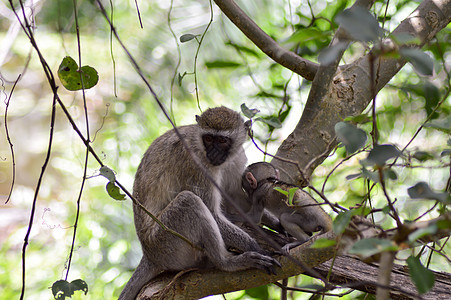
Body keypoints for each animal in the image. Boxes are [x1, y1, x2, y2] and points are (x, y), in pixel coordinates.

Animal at [119, 106, 278, 300]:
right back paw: (228, 262)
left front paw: (278, 224)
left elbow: (236, 198)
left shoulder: (237, 157)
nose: (213, 154)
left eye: (222, 140)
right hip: (165, 243)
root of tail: (149, 254)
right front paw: (255, 246)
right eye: (208, 138)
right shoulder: (197, 164)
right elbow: (213, 213)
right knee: (188, 201)